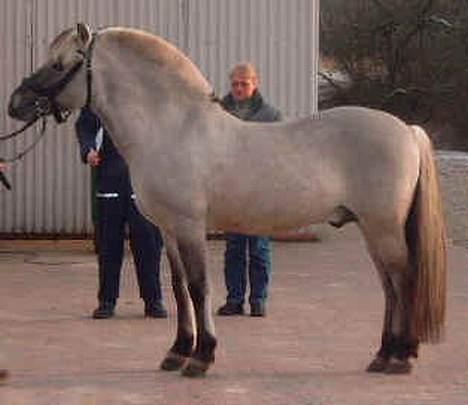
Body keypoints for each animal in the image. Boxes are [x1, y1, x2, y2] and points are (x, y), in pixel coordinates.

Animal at [8, 22, 446, 376]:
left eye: (59, 64)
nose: (16, 104)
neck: (171, 128)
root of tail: (407, 130)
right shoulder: (168, 230)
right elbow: (179, 287)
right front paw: (177, 352)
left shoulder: (190, 227)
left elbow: (200, 287)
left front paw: (202, 357)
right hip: (372, 230)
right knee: (389, 286)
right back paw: (382, 355)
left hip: (383, 228)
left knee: (403, 280)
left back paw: (401, 357)